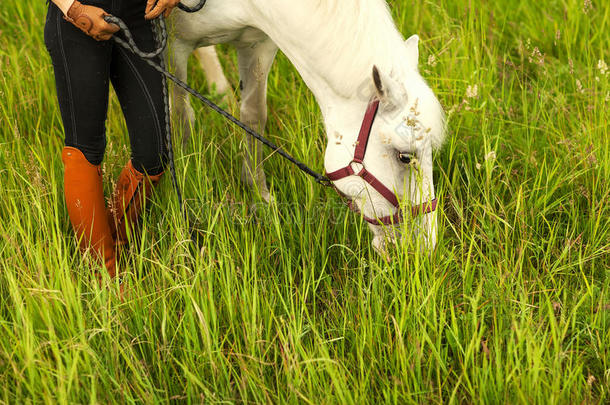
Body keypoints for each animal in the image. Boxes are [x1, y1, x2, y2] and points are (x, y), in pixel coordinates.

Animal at [169, 0, 444, 252]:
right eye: (405, 157)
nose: (425, 247)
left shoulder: (257, 43)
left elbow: (254, 115)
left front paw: (258, 193)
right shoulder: (173, 47)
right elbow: (181, 121)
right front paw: (184, 190)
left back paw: (220, 90)